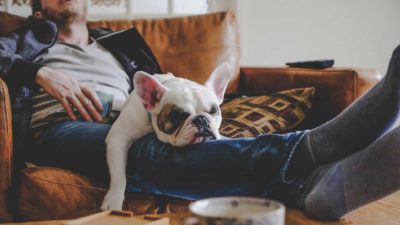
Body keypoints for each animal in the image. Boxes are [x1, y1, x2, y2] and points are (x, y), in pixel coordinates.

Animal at [101, 62, 234, 210]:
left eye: (213, 111)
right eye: (177, 117)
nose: (201, 120)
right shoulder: (118, 137)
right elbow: (118, 172)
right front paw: (114, 199)